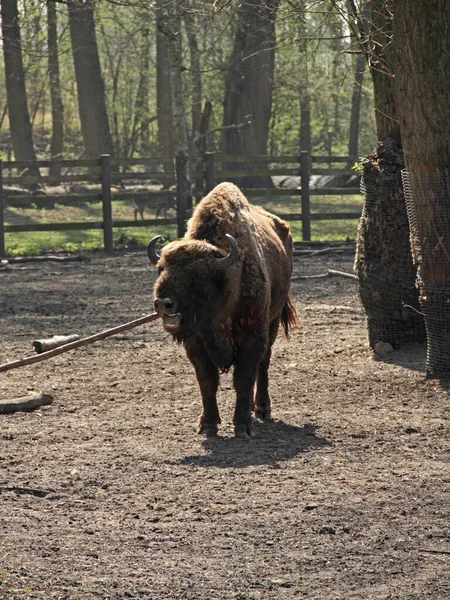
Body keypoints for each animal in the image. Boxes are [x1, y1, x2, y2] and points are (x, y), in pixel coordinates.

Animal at [149, 180, 298, 438]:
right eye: (161, 268)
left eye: (198, 275)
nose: (162, 303)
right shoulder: (196, 342)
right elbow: (207, 380)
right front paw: (208, 425)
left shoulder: (252, 337)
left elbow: (244, 378)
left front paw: (243, 427)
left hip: (273, 321)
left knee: (264, 363)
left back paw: (261, 409)